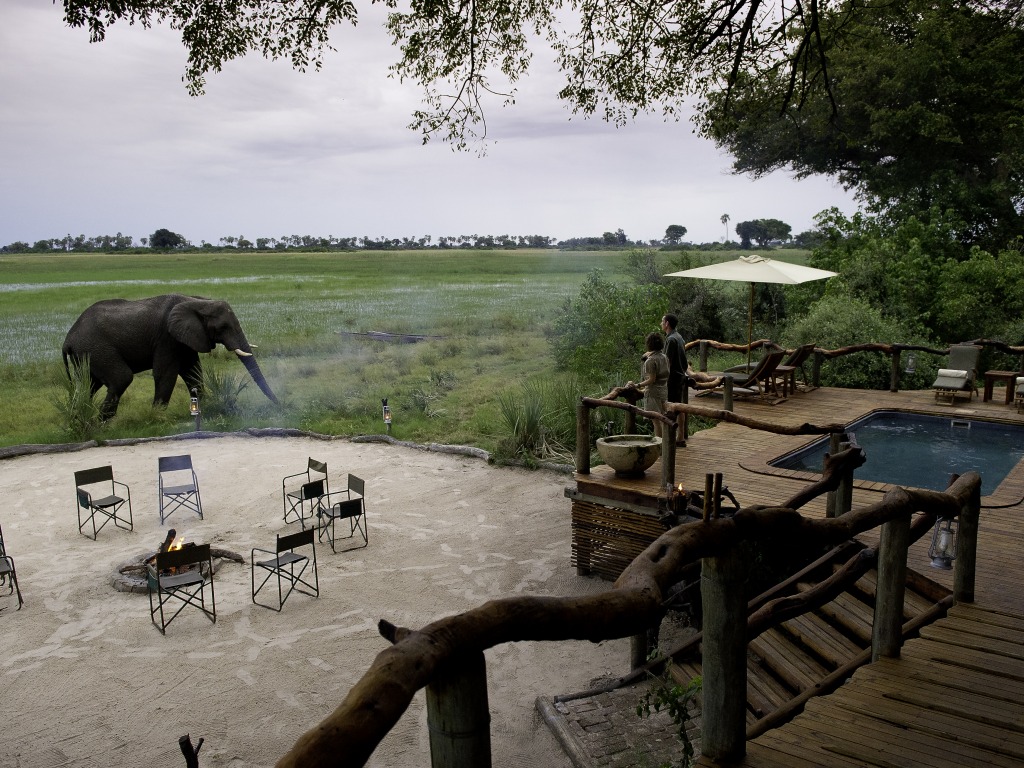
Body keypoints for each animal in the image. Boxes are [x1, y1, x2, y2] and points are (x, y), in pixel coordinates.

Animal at [62, 294, 280, 420]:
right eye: (223, 327)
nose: (281, 405)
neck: (198, 302)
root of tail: (68, 338)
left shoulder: (186, 337)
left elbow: (193, 371)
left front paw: (205, 407)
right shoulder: (166, 337)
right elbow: (166, 373)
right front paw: (157, 416)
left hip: (86, 354)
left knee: (88, 384)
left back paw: (79, 417)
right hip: (95, 348)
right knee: (120, 378)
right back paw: (102, 423)